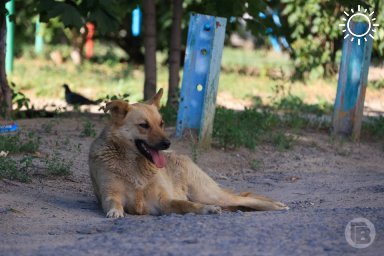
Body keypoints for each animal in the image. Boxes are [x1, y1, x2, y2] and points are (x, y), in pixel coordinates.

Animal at [89, 89, 288, 217]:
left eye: (161, 124)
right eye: (144, 125)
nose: (167, 143)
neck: (135, 165)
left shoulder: (163, 202)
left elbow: (185, 204)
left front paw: (206, 209)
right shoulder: (110, 194)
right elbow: (113, 202)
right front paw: (115, 211)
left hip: (208, 194)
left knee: (244, 199)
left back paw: (274, 205)